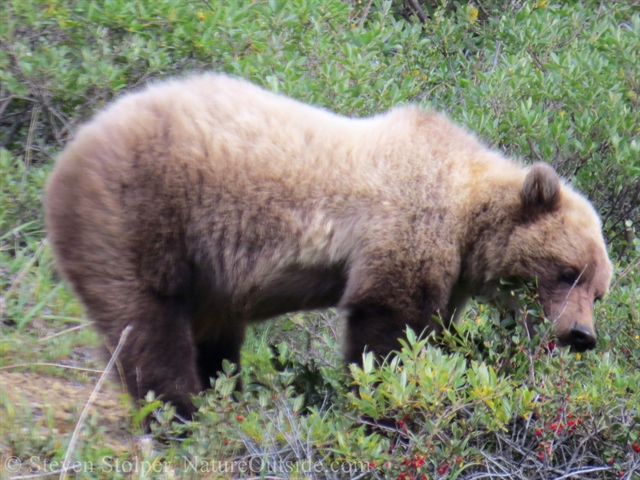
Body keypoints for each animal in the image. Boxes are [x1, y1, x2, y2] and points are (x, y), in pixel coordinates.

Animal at [43, 73, 608, 418]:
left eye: (598, 290)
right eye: (567, 271)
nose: (582, 335)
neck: (466, 217)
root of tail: (72, 147)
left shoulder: (448, 270)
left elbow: (431, 332)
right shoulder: (404, 226)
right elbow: (386, 329)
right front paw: (385, 409)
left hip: (206, 272)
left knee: (214, 339)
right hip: (141, 215)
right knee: (148, 328)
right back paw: (182, 417)